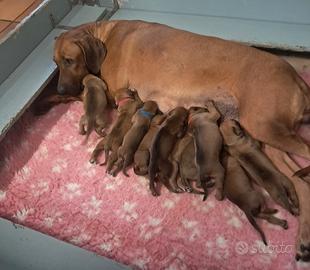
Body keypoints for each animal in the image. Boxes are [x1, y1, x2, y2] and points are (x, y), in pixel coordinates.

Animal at [54, 19, 310, 260]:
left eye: (69, 60)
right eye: (56, 63)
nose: (60, 89)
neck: (104, 33)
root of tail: (297, 78)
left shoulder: (111, 93)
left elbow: (85, 90)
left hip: (265, 126)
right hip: (269, 134)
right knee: (298, 180)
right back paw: (303, 233)